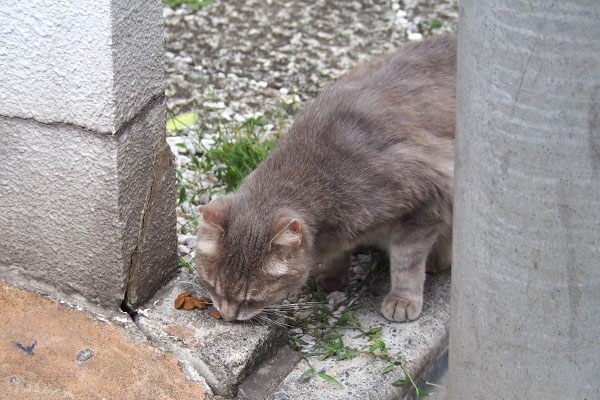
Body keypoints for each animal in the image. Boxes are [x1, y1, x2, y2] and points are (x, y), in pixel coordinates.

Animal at [196, 34, 454, 322]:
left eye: (252, 298)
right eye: (213, 286)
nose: (228, 316)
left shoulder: (429, 195)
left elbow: (407, 261)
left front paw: (402, 299)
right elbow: (340, 253)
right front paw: (333, 275)